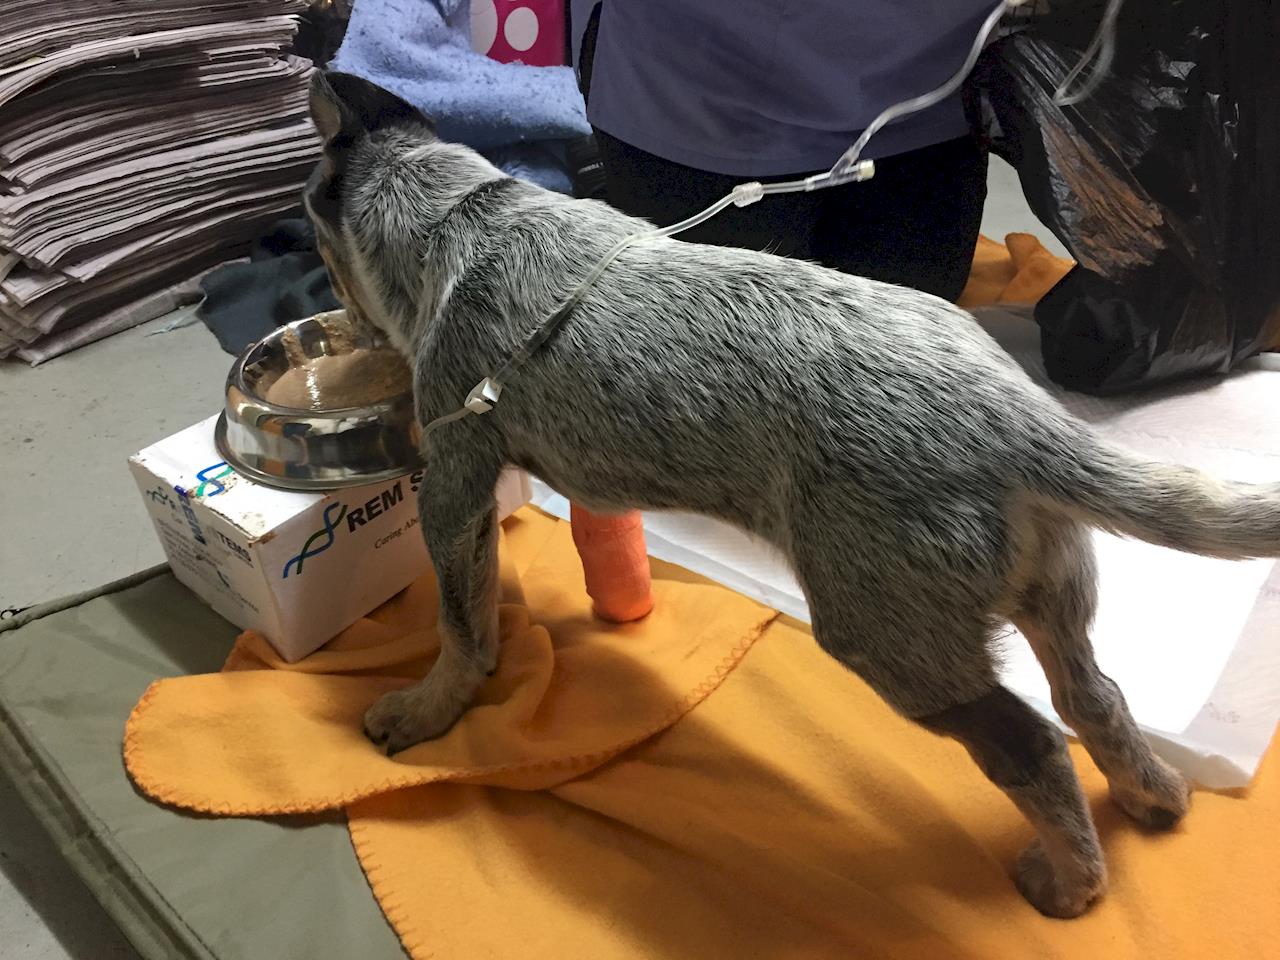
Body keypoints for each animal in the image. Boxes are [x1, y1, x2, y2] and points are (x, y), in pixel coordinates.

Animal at [303, 70, 1280, 918]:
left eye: (320, 240)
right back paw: (1152, 796)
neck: (464, 215)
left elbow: (461, 626)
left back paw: (1072, 883)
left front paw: (427, 709)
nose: (342, 323)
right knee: (1095, 695)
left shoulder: (454, 477)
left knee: (1033, 743)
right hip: (1053, 584)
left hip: (889, 634)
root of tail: (1020, 418)